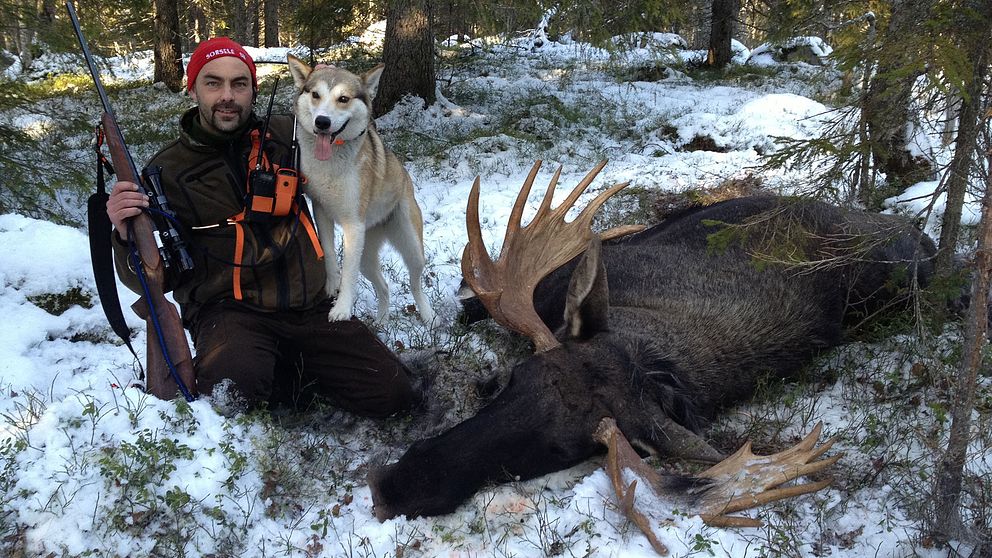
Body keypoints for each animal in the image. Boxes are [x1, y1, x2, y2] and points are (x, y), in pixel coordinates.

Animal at [286, 54, 434, 326]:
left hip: (410, 245)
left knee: (415, 281)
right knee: (384, 286)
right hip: (366, 254)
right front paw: (332, 285)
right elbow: (330, 254)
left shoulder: (353, 225)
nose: (322, 122)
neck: (330, 164)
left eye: (343, 99)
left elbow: (349, 274)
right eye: (315, 95)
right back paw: (382, 321)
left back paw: (429, 316)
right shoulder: (322, 211)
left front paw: (342, 309)